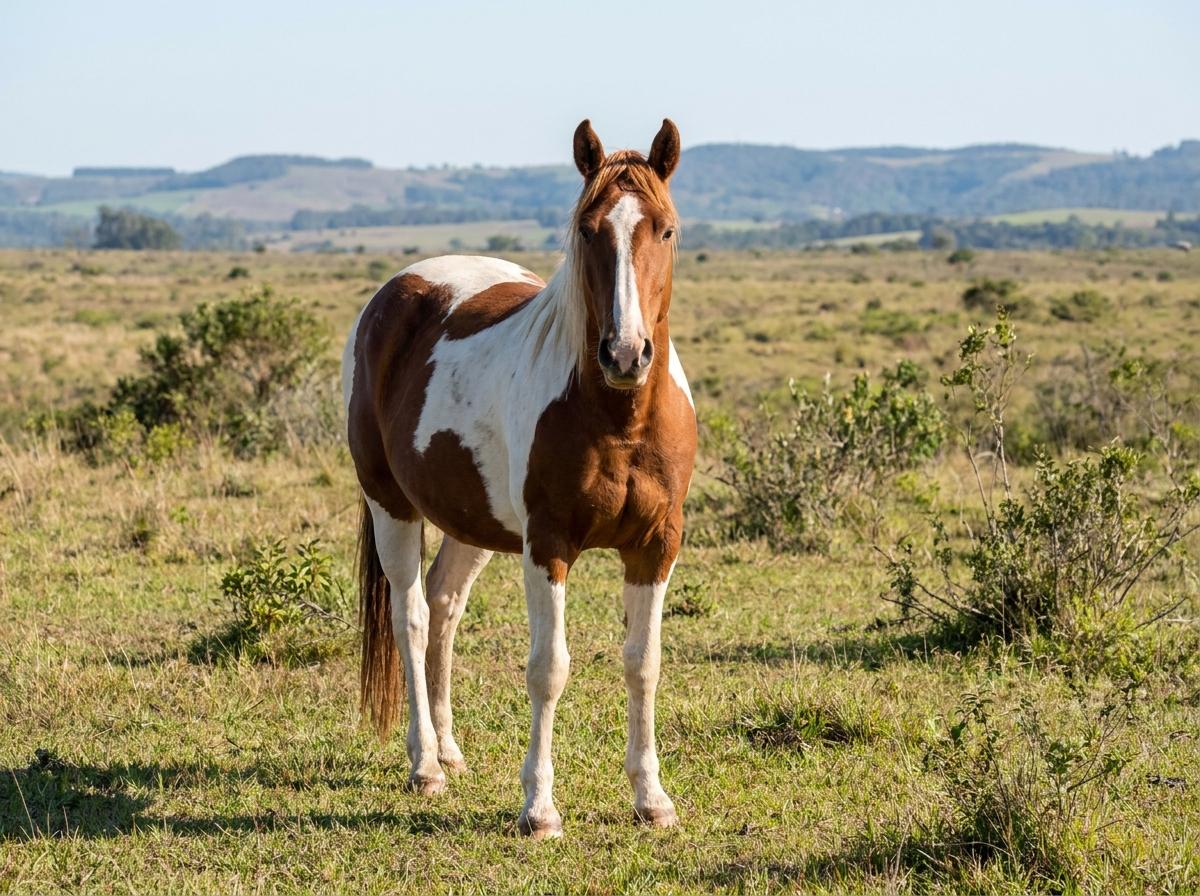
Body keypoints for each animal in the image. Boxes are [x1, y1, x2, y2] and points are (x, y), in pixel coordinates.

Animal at [341, 119, 696, 839]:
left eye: (667, 230)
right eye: (587, 229)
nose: (625, 354)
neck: (618, 416)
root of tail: (397, 293)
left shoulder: (656, 544)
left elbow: (643, 663)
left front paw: (652, 798)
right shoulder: (548, 544)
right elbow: (548, 668)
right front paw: (539, 808)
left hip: (469, 520)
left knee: (445, 609)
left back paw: (450, 750)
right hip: (392, 505)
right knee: (412, 617)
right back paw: (425, 765)